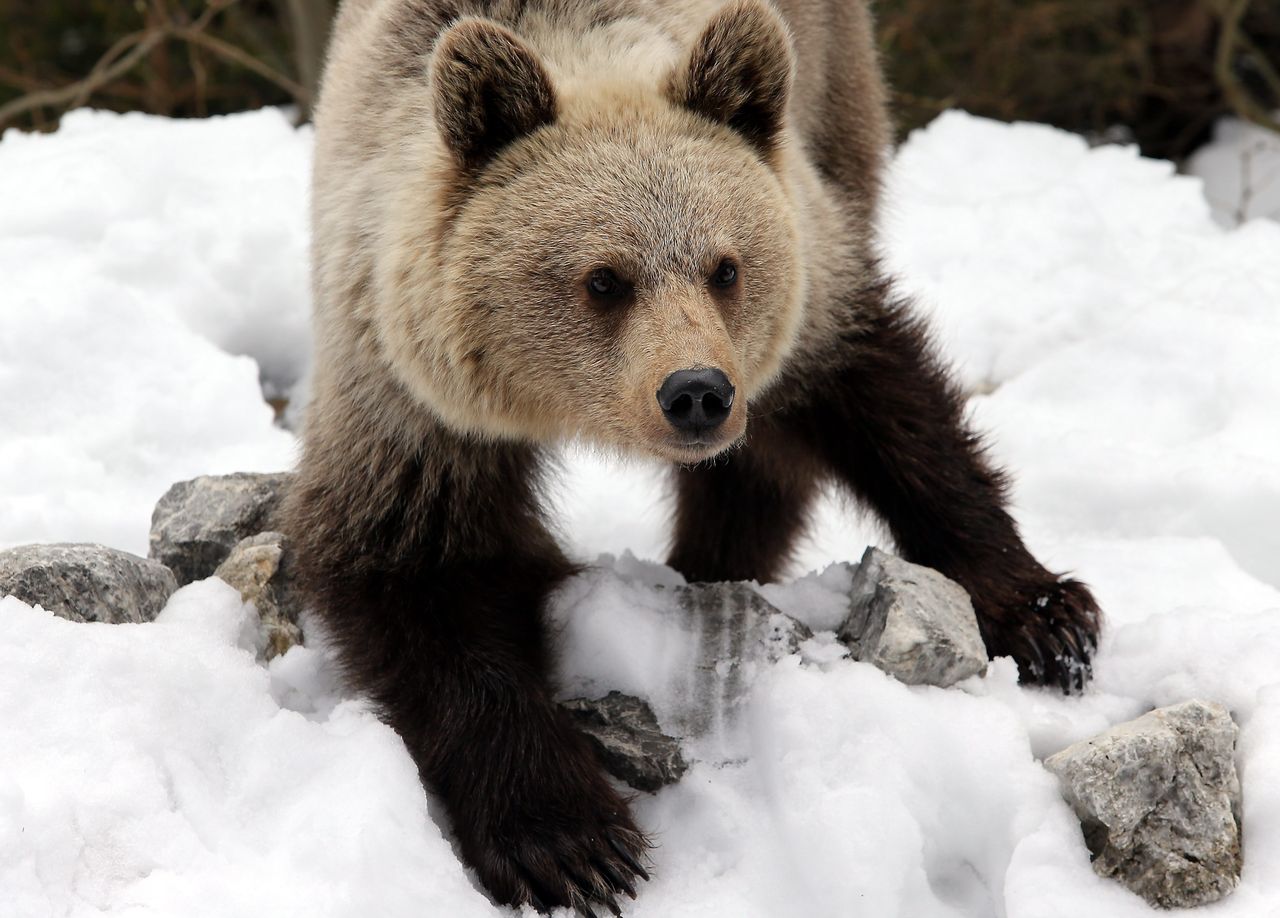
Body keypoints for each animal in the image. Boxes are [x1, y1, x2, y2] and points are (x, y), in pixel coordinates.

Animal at [285, 0, 1105, 911]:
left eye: (725, 267)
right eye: (603, 278)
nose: (697, 392)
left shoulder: (809, 289)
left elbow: (894, 411)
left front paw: (1045, 616)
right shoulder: (413, 406)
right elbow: (423, 580)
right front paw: (570, 842)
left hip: (838, 99)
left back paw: (714, 564)